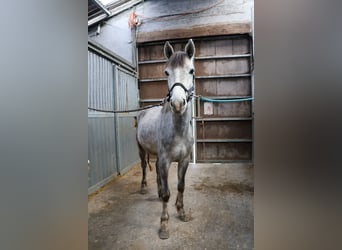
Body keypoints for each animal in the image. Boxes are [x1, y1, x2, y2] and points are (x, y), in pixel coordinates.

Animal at [136, 38, 196, 238]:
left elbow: (180, 186)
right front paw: (164, 225)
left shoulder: (183, 160)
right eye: (166, 72)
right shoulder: (165, 161)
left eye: (191, 71)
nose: (177, 104)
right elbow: (167, 194)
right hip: (141, 150)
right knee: (144, 167)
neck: (178, 130)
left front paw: (181, 211)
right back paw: (144, 187)